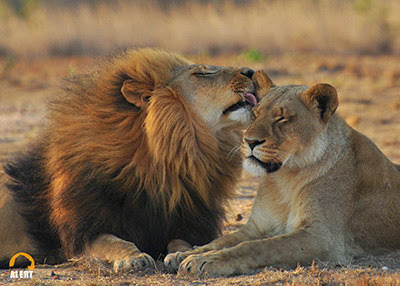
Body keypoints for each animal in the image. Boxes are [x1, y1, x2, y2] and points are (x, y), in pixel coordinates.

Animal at [0, 48, 258, 270]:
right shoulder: (83, 232)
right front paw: (133, 258)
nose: (251, 72)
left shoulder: (186, 222)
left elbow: (182, 242)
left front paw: (181, 254)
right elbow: (113, 241)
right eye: (202, 73)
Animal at [165, 70, 400, 276]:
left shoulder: (321, 238)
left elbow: (258, 247)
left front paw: (206, 260)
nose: (249, 141)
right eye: (255, 114)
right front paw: (185, 254)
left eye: (282, 118)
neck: (285, 178)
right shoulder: (255, 227)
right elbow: (221, 241)